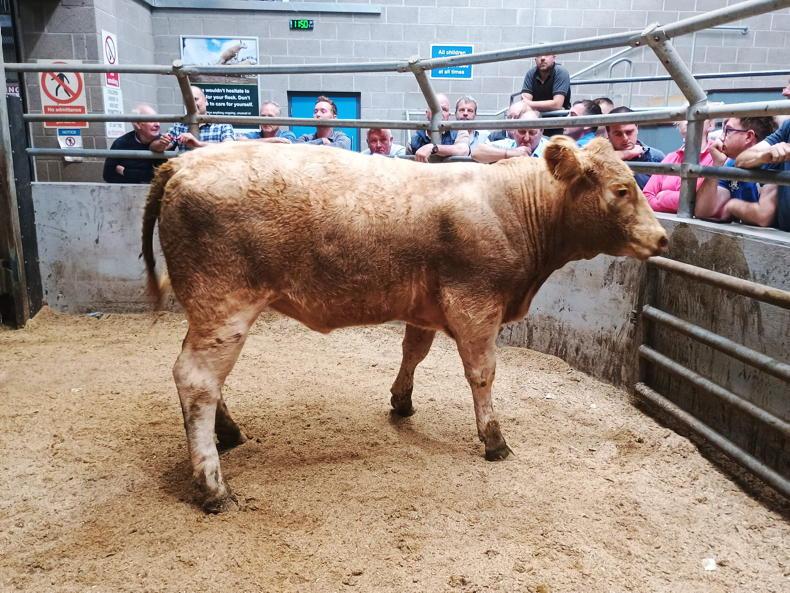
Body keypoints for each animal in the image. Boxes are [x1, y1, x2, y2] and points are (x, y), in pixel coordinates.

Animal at [142, 136, 668, 512]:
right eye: (622, 189)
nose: (663, 237)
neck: (512, 205)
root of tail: (181, 164)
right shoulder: (476, 303)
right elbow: (482, 372)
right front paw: (494, 440)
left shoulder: (426, 307)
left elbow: (413, 352)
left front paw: (402, 402)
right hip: (225, 303)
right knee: (197, 379)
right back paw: (213, 487)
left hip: (207, 311)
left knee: (205, 380)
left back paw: (227, 434)